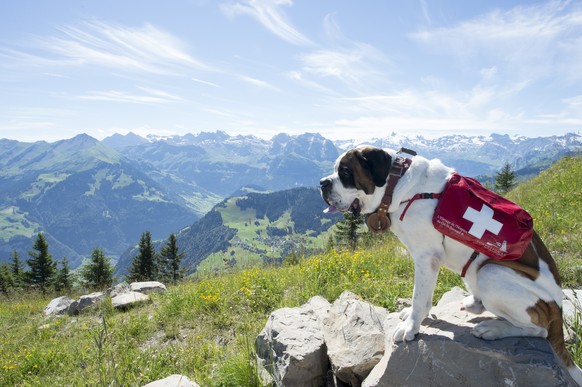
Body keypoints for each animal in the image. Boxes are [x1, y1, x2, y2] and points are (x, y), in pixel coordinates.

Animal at [322, 146, 580, 384]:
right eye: (335, 169)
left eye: (345, 172)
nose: (323, 183)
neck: (399, 187)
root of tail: (557, 309)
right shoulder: (427, 261)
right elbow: (423, 299)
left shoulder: (426, 257)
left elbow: (418, 298)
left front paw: (410, 328)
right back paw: (475, 304)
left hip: (491, 272)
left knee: (539, 330)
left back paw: (493, 329)